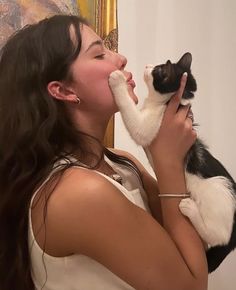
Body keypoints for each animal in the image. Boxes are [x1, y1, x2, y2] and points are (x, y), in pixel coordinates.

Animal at [109, 52, 236, 272]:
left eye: (159, 69)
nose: (147, 65)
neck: (165, 104)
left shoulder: (148, 126)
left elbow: (133, 117)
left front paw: (118, 80)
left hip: (218, 191)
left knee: (218, 235)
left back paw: (190, 209)